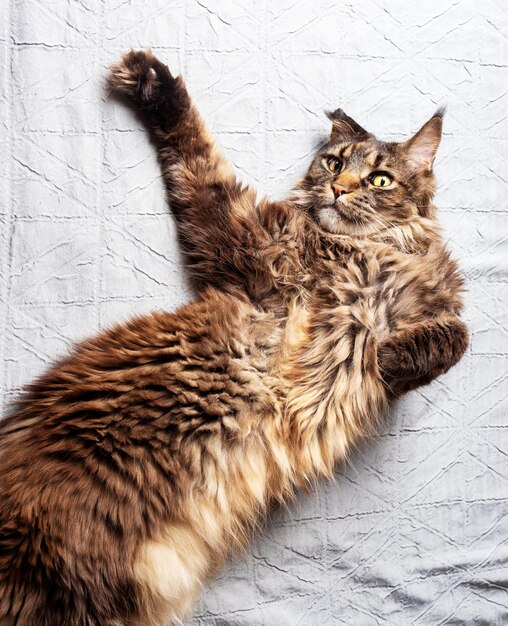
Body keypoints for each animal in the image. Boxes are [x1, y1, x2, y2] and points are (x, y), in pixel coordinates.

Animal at [0, 50, 468, 624]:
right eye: (334, 164)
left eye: (380, 180)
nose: (338, 190)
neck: (371, 255)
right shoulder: (245, 238)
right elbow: (201, 161)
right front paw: (153, 82)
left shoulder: (428, 313)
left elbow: (454, 336)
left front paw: (390, 354)